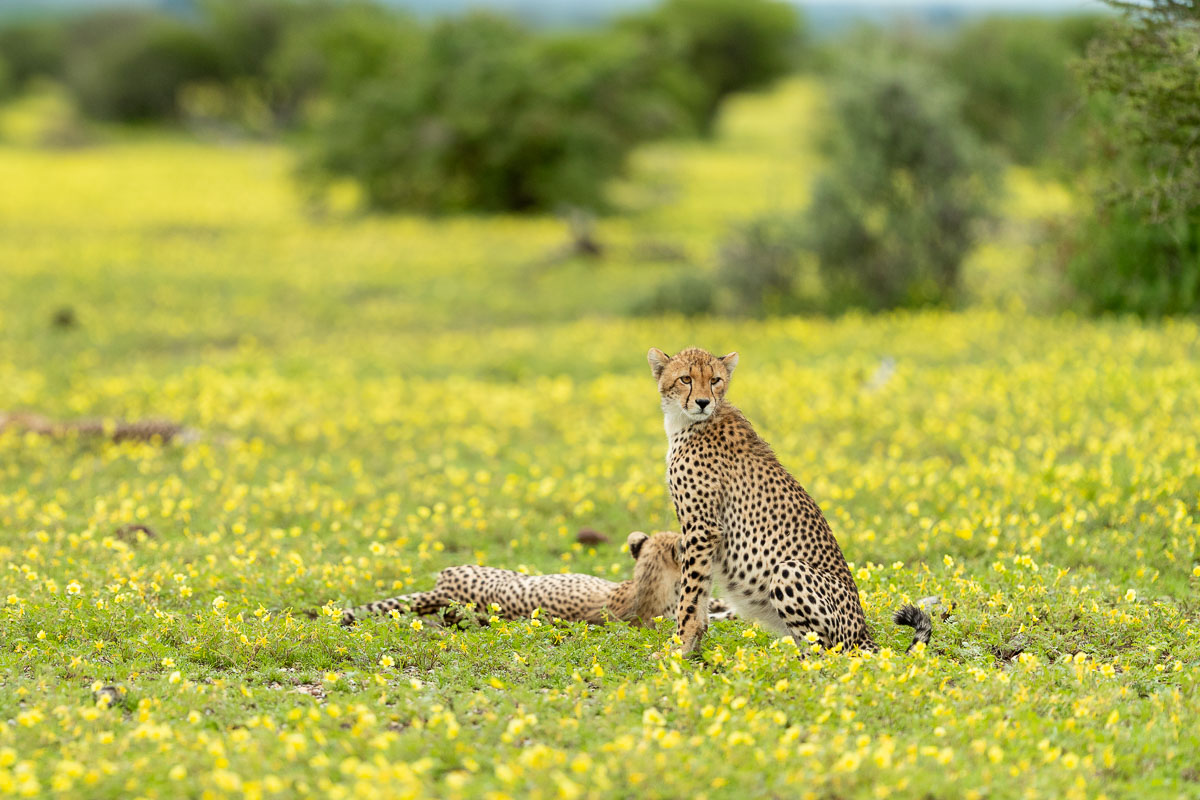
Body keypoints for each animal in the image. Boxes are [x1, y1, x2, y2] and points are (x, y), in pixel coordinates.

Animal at [648, 347, 926, 652]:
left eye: (715, 380)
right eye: (685, 378)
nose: (702, 402)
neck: (688, 422)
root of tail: (863, 633)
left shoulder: (703, 528)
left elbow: (689, 596)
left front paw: (678, 648)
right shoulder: (705, 533)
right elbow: (699, 594)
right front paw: (693, 649)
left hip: (788, 570)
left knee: (824, 653)